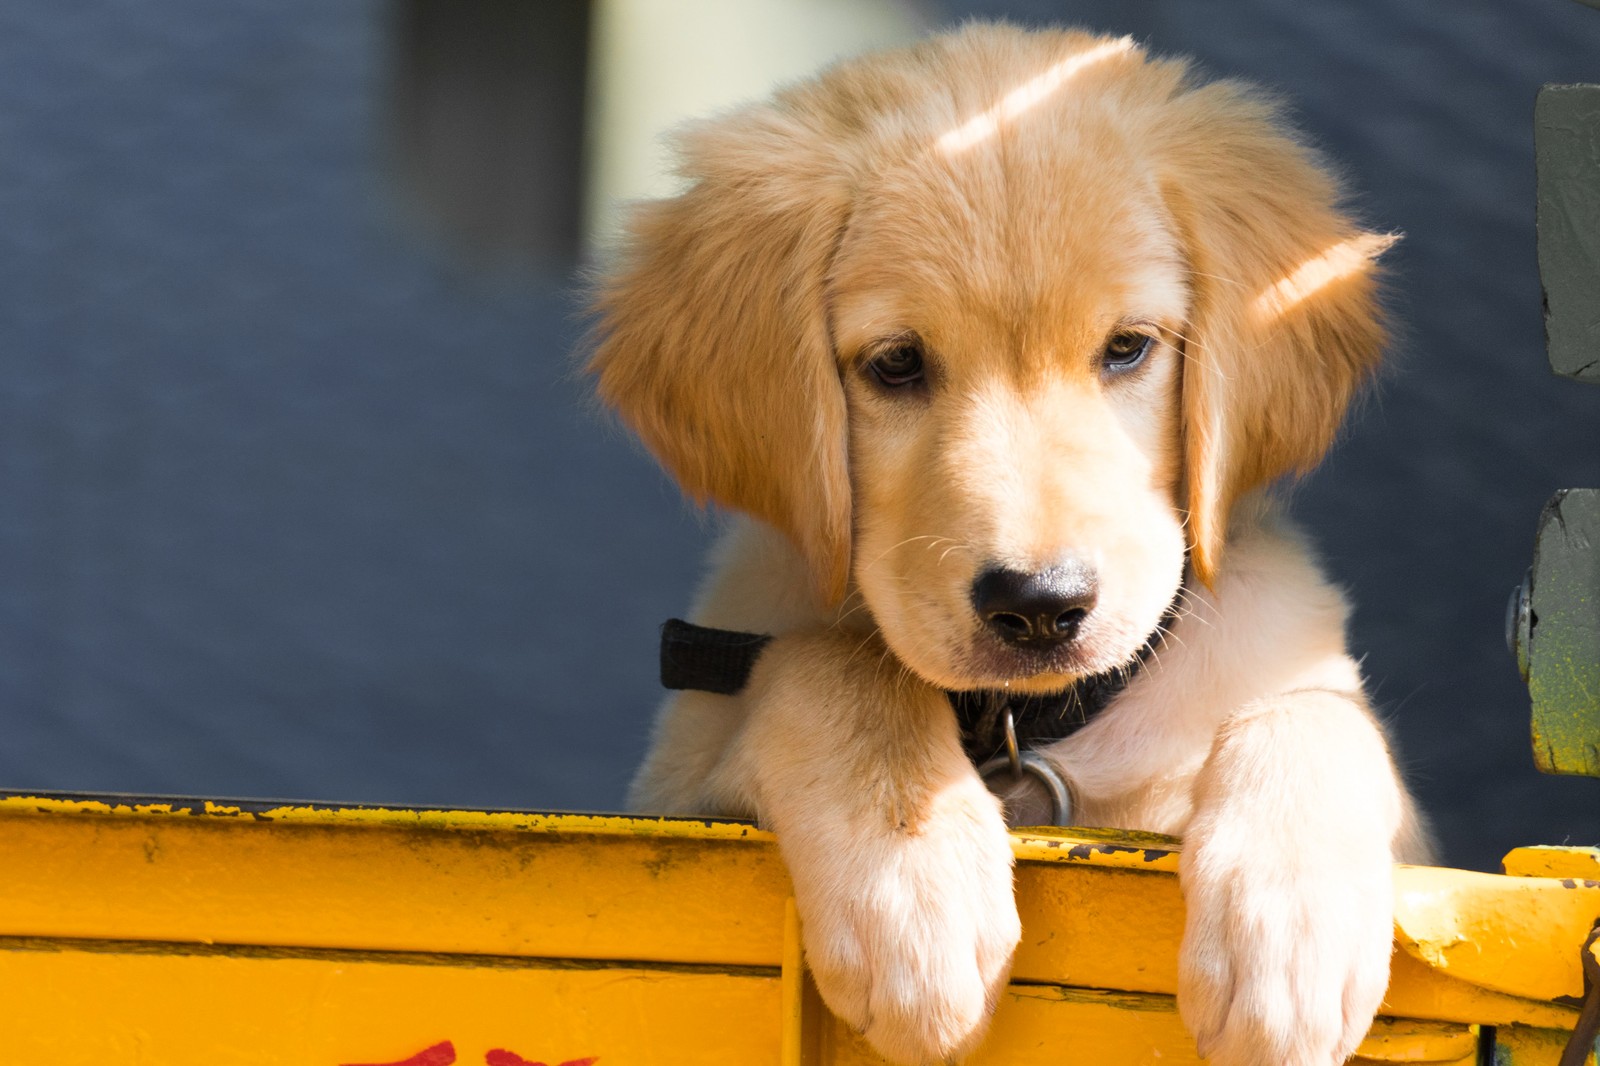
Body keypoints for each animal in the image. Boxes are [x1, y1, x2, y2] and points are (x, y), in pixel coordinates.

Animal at [592, 24, 1440, 1062]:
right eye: (896, 364)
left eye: (1127, 347)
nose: (1040, 608)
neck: (1028, 728)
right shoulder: (672, 802)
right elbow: (835, 666)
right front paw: (917, 892)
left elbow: (1317, 711)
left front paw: (1290, 929)